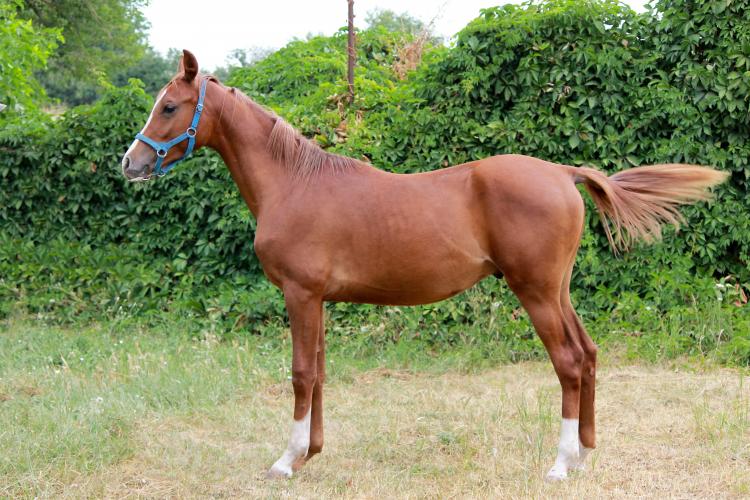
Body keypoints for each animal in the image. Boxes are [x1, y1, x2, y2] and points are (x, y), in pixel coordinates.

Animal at [121, 50, 728, 481]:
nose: (130, 163)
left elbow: (299, 375)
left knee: (570, 363)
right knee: (590, 352)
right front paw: (312, 453)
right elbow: (319, 373)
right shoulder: (318, 299)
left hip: (535, 292)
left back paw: (559, 465)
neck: (293, 182)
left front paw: (286, 461)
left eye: (169, 106)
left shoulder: (300, 294)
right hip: (558, 290)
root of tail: (561, 172)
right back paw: (583, 453)